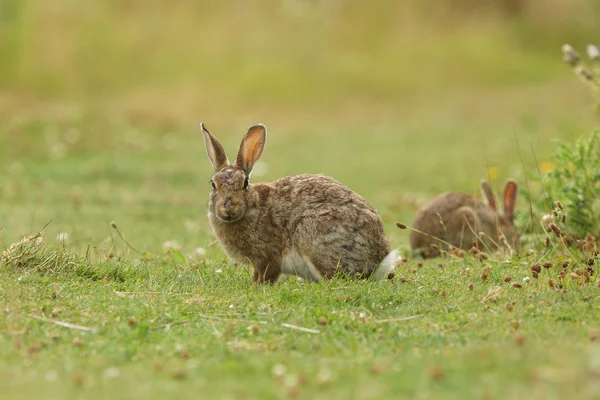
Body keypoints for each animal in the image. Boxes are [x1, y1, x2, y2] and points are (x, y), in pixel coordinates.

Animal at [200, 123, 398, 282]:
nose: (228, 208)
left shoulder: (269, 257)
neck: (253, 207)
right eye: (213, 184)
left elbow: (266, 274)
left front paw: (256, 287)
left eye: (245, 184)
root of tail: (378, 262)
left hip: (313, 235)